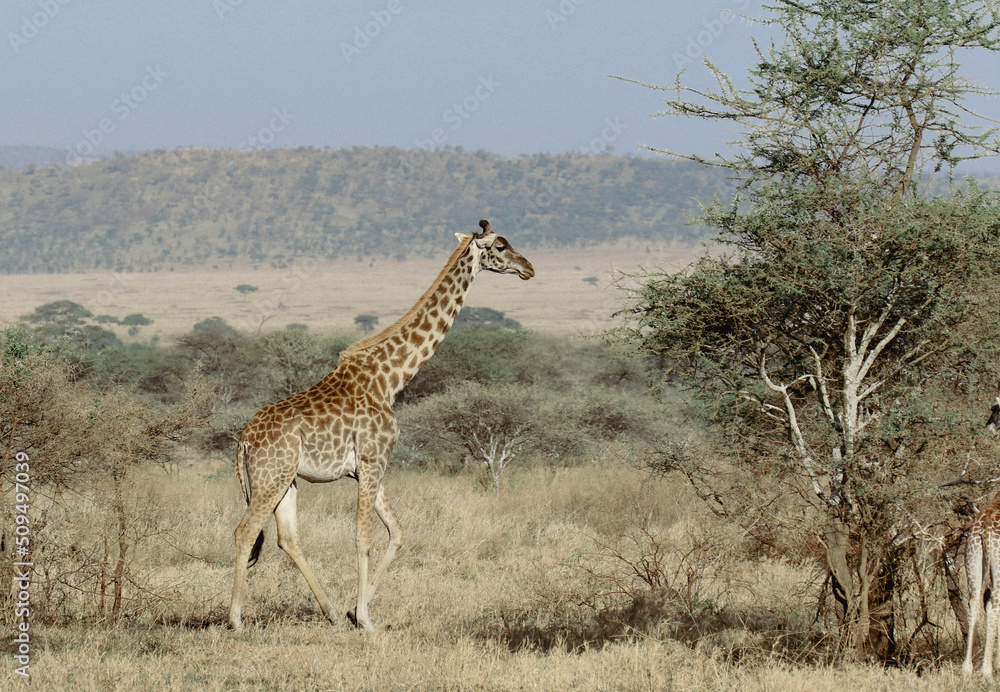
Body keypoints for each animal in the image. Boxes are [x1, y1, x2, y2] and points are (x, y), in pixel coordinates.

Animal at [228, 219, 534, 632]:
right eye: (500, 246)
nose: (529, 268)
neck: (391, 379)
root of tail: (243, 438)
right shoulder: (373, 460)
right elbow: (363, 537)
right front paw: (367, 621)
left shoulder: (370, 467)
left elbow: (398, 532)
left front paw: (354, 612)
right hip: (270, 477)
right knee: (245, 531)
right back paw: (235, 619)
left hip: (285, 479)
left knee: (287, 538)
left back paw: (330, 613)